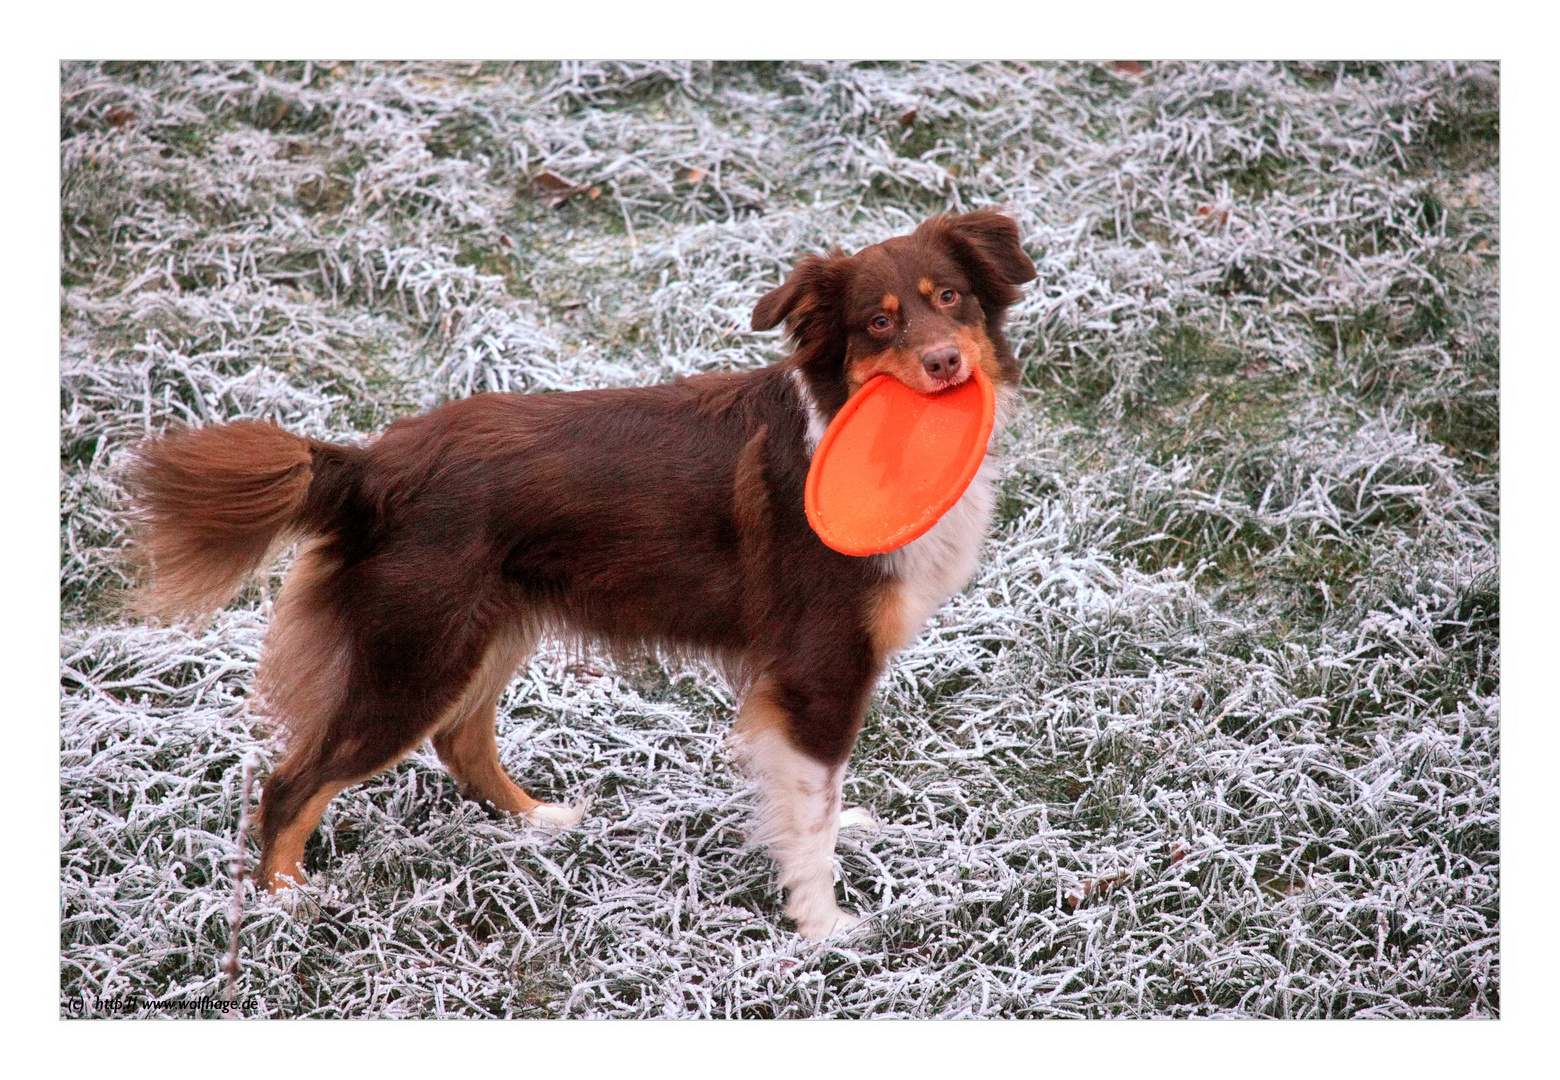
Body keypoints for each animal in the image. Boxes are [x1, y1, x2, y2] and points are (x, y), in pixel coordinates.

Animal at [127, 209, 1035, 936]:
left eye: (951, 298)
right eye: (878, 324)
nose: (946, 365)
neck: (833, 419)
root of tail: (373, 466)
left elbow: (814, 800)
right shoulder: (820, 669)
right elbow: (811, 813)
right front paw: (824, 927)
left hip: (482, 633)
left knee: (461, 739)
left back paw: (540, 821)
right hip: (416, 657)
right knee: (294, 783)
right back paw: (287, 903)